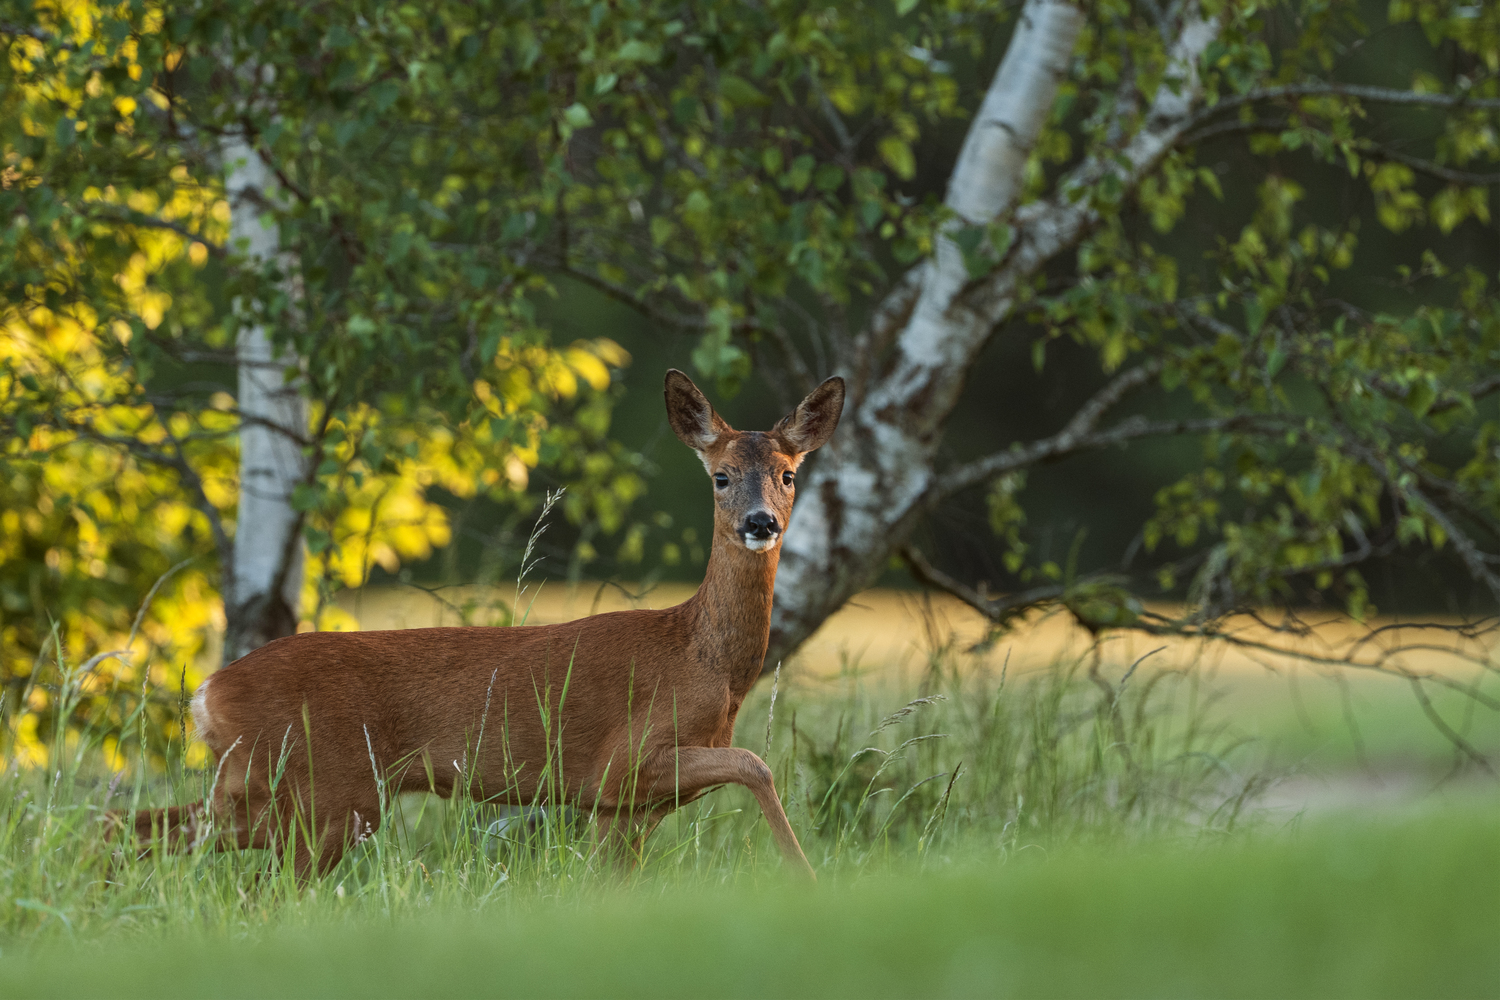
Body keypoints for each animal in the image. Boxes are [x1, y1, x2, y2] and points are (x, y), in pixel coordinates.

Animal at [120, 369, 843, 880]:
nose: (760, 522)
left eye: (787, 475)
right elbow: (757, 763)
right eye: (721, 476)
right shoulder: (625, 764)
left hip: (265, 791)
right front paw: (805, 878)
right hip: (323, 792)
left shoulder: (618, 808)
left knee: (130, 827)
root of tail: (207, 693)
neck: (702, 661)